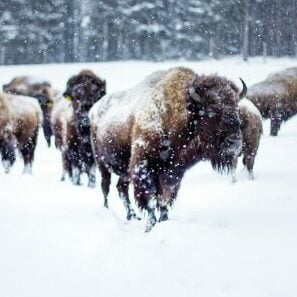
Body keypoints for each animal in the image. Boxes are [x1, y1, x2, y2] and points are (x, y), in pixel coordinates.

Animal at [89, 67, 244, 231]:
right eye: (212, 111)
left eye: (237, 108)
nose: (234, 142)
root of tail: (94, 109)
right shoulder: (143, 167)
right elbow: (151, 199)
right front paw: (149, 227)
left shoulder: (174, 173)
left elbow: (165, 200)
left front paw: (163, 220)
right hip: (102, 164)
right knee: (106, 187)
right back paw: (107, 210)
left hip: (124, 172)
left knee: (121, 188)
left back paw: (132, 215)